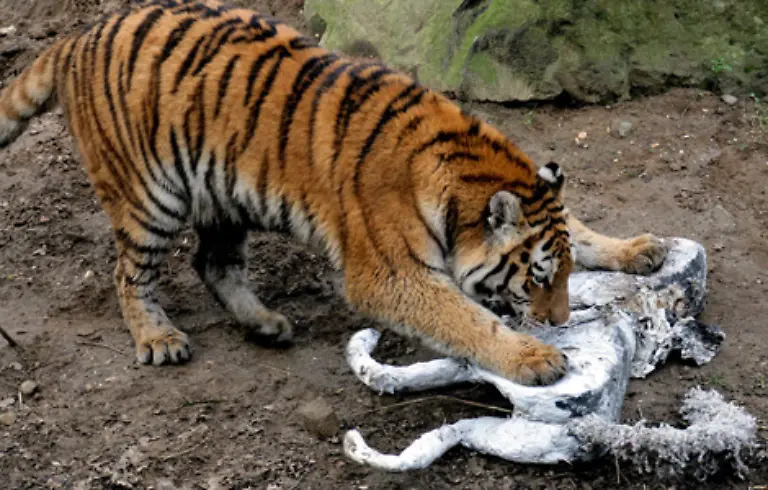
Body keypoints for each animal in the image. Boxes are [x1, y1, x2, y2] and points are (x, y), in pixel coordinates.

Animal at [0, 0, 667, 386]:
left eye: (564, 274)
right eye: (536, 278)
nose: (559, 322)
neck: (462, 167)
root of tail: (79, 36)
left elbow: (580, 227)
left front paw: (638, 248)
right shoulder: (389, 273)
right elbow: (467, 318)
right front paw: (533, 357)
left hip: (223, 187)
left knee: (212, 261)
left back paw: (265, 323)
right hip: (149, 195)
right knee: (130, 273)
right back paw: (158, 339)